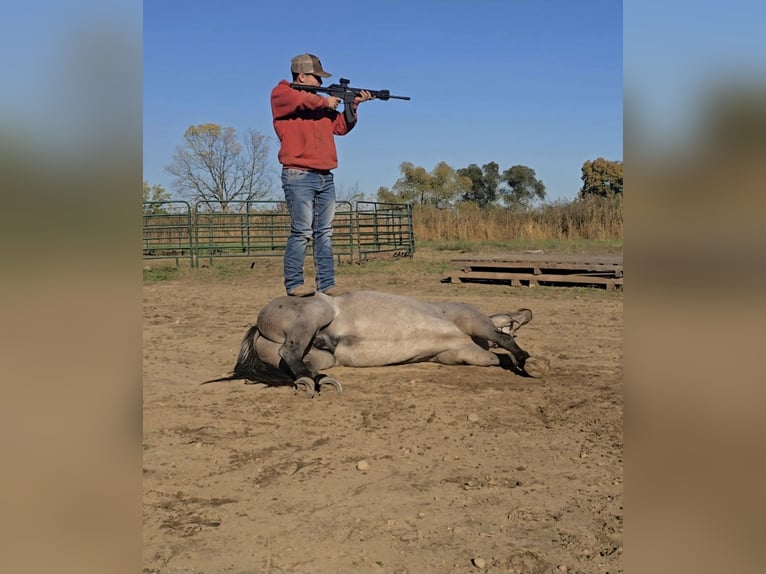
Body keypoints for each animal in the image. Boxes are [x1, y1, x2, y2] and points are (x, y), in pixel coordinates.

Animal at [204, 292, 536, 396]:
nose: (528, 312)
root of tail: (257, 325)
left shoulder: (461, 353)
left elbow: (493, 357)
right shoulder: (472, 321)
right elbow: (503, 339)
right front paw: (526, 362)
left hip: (323, 357)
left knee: (299, 364)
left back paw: (317, 382)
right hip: (316, 312)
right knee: (290, 351)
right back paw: (313, 385)